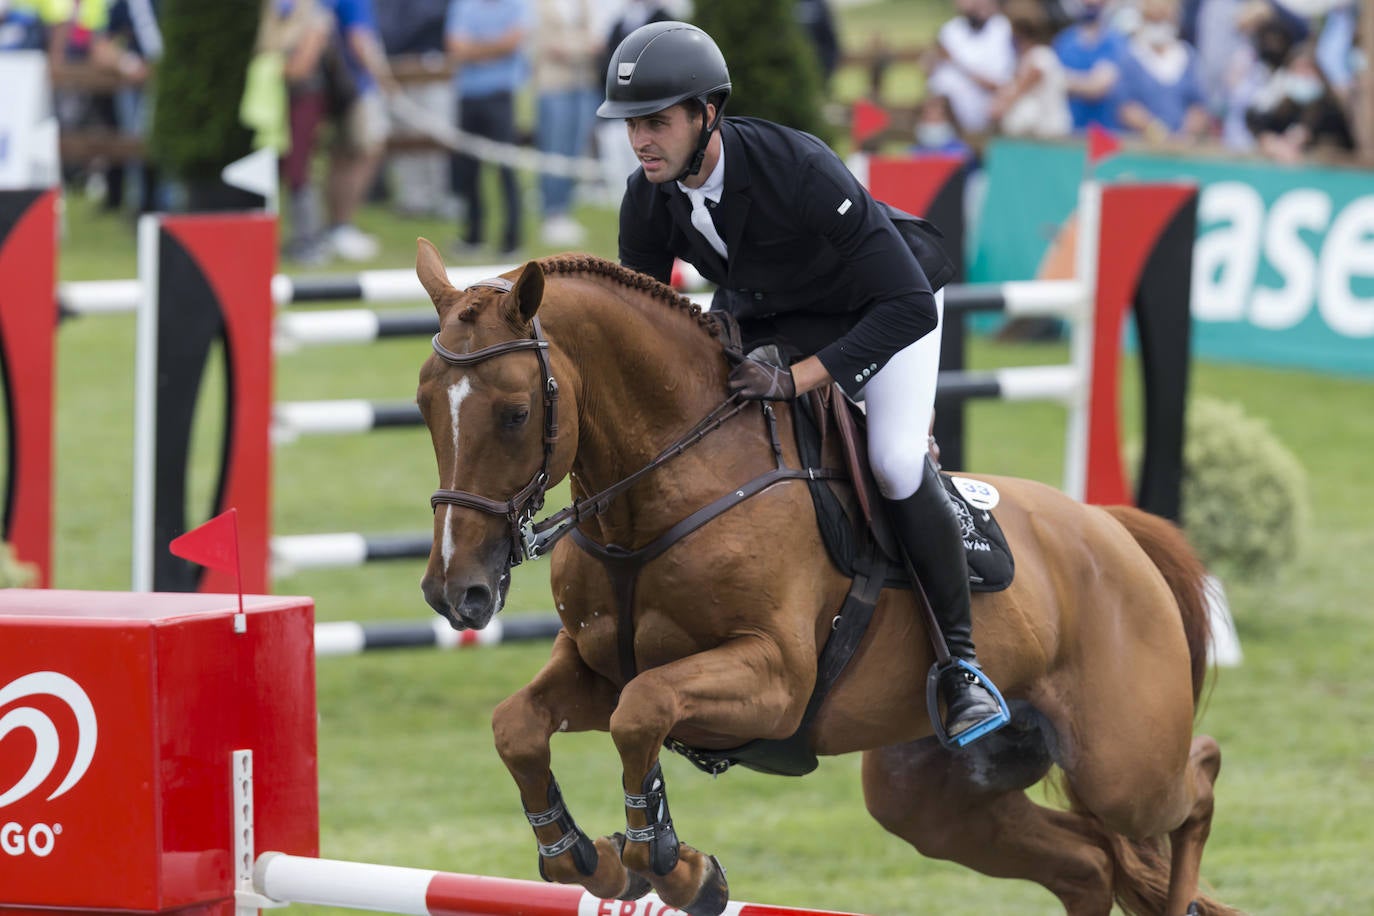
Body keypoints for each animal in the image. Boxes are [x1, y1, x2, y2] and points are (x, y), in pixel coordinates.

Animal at [409, 241, 1236, 916]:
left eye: (516, 414)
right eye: (423, 406)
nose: (456, 592)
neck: (666, 487)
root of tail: (1115, 531)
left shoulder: (773, 681)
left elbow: (641, 714)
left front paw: (677, 868)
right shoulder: (597, 666)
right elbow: (519, 726)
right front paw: (592, 860)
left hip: (1121, 767)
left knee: (1195, 781)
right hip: (933, 800)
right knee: (1087, 866)